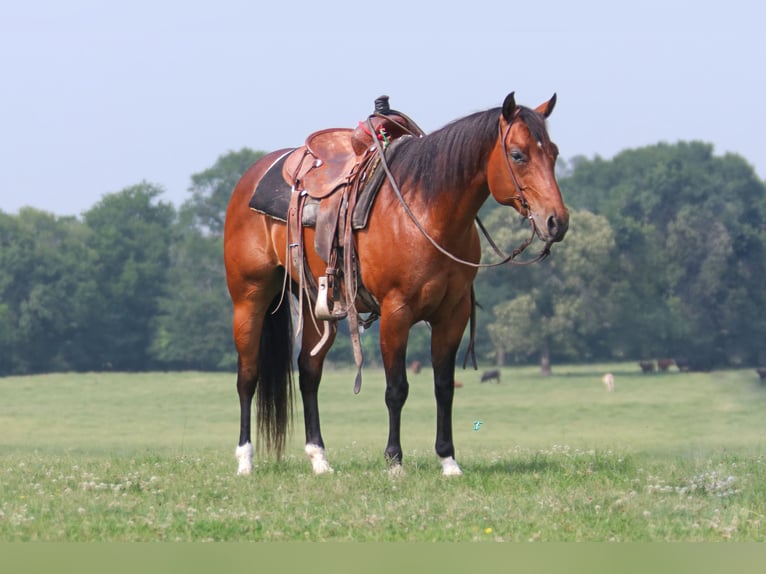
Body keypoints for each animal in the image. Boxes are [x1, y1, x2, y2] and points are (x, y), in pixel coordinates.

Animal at [224, 91, 568, 476]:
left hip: (316, 304)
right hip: (249, 298)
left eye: (553, 153)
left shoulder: (453, 314)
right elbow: (396, 389)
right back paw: (245, 461)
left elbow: (444, 386)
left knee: (309, 373)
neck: (427, 213)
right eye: (518, 154)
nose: (556, 221)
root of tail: (251, 178)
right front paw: (394, 462)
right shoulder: (396, 312)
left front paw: (448, 460)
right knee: (248, 375)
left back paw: (319, 459)